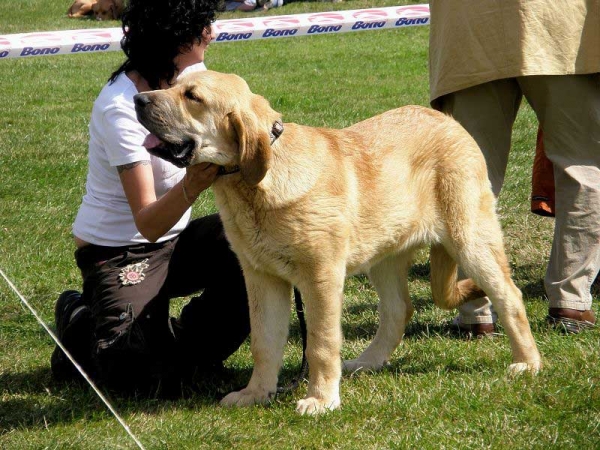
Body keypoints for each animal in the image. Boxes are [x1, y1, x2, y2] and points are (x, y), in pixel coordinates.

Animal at [134, 69, 540, 414]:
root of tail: (451, 123)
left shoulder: (321, 278)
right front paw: (256, 394)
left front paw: (321, 400)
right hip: (384, 257)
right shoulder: (262, 278)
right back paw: (368, 362)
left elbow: (321, 344)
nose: (138, 98)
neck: (255, 185)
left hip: (470, 239)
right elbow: (264, 342)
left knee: (509, 295)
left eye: (192, 96)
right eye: (173, 85)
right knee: (398, 310)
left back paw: (527, 363)